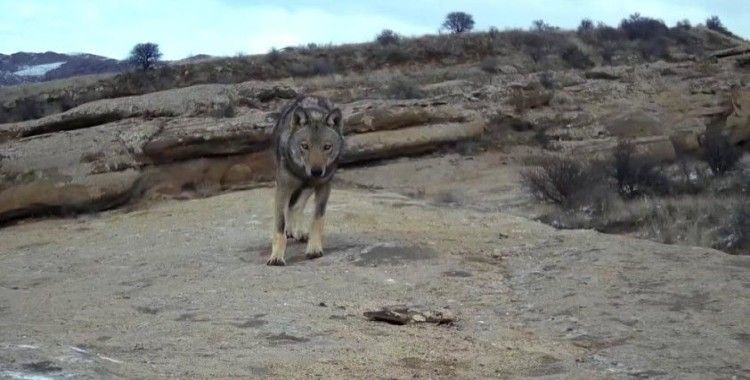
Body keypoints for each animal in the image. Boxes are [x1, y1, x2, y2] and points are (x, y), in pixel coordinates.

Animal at [266, 96, 346, 266]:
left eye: (327, 147)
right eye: (305, 146)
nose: (316, 171)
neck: (302, 171)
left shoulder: (324, 187)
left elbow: (317, 220)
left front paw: (314, 249)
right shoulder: (283, 189)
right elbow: (279, 226)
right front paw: (276, 256)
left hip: (308, 187)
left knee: (295, 206)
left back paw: (298, 232)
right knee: (291, 207)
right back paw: (291, 231)